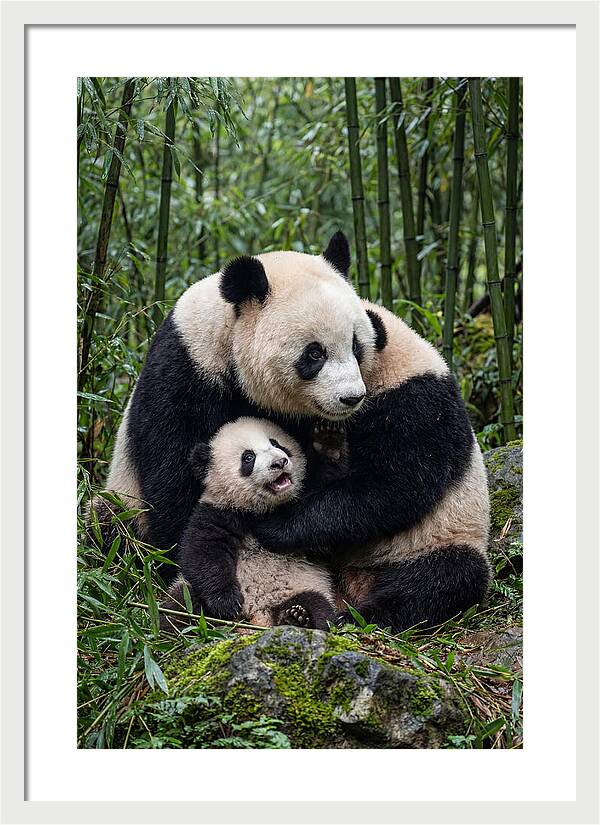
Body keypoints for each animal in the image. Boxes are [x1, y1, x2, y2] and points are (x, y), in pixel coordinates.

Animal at [160, 417, 337, 631]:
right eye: (248, 457)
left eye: (277, 444)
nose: (280, 462)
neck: (259, 509)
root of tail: (257, 615)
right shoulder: (217, 512)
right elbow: (203, 552)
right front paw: (227, 603)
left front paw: (328, 442)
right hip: (187, 591)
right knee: (179, 605)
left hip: (303, 586)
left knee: (318, 607)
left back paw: (297, 618)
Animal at [253, 301, 491, 632]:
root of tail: (356, 583)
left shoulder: (418, 405)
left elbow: (390, 489)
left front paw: (275, 525)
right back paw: (300, 614)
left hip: (440, 539)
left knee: (440, 580)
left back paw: (362, 616)